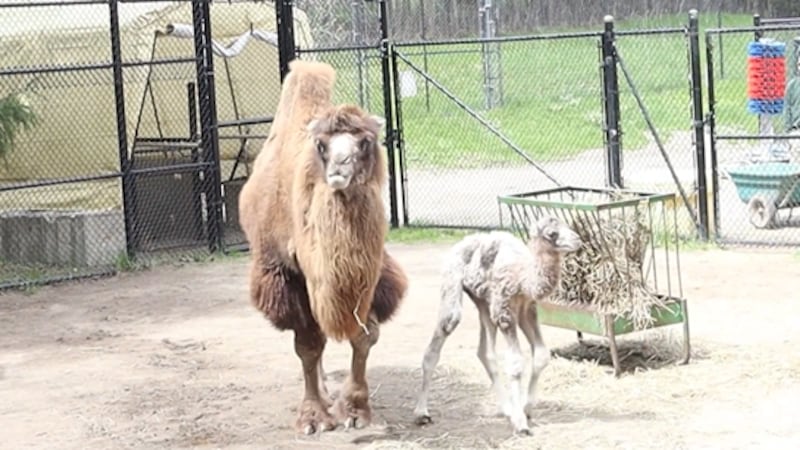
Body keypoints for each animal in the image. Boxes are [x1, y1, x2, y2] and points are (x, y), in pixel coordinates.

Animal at [238, 59, 408, 435]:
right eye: (322, 145)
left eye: (365, 142)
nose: (338, 170)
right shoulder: (289, 274)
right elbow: (308, 345)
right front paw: (313, 417)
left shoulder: (371, 272)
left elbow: (365, 335)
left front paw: (356, 410)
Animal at [412, 216, 582, 435]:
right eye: (552, 233)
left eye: (567, 225)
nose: (578, 240)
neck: (522, 277)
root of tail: (462, 242)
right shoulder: (505, 312)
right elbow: (516, 363)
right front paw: (521, 424)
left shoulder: (527, 309)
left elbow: (542, 355)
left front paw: (525, 409)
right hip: (455, 285)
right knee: (444, 331)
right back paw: (421, 413)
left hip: (483, 301)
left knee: (485, 352)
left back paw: (507, 408)